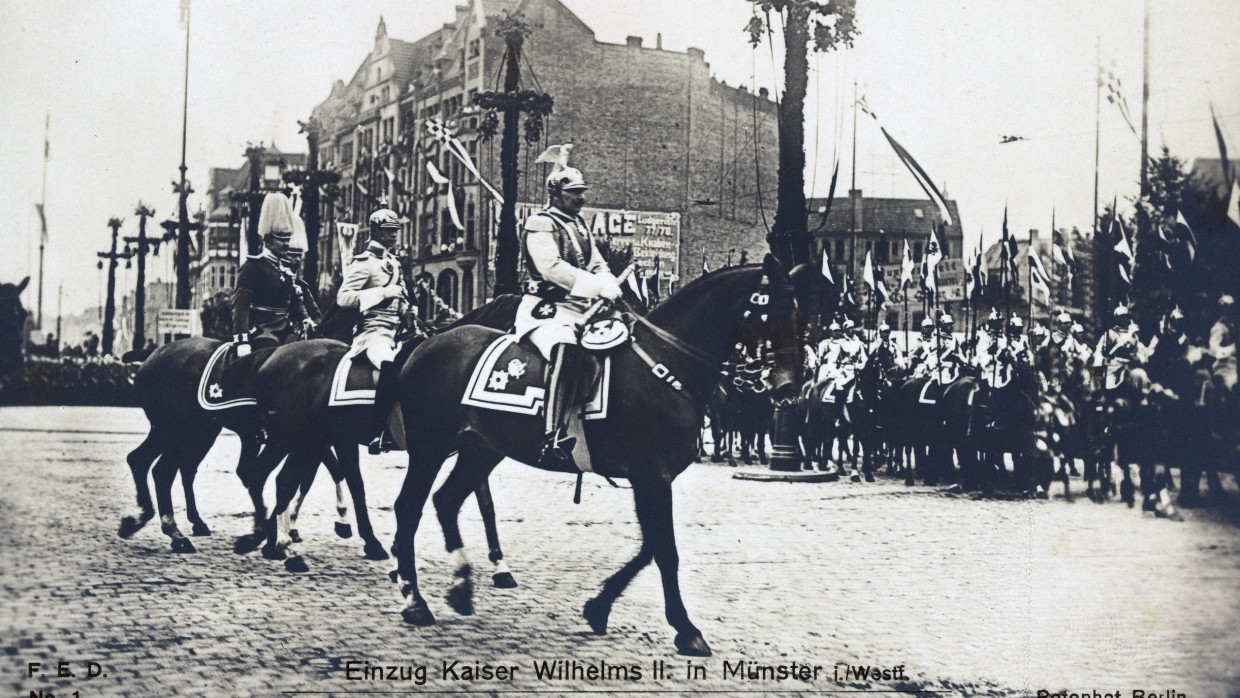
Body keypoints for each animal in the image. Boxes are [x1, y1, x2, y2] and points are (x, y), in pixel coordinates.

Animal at [391, 256, 808, 654]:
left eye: (800, 313)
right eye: (772, 310)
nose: (789, 387)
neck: (664, 364)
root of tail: (428, 343)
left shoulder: (652, 479)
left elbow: (650, 546)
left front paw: (598, 608)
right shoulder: (651, 476)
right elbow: (664, 550)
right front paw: (686, 629)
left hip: (481, 450)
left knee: (446, 501)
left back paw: (461, 588)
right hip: (430, 447)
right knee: (408, 508)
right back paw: (414, 602)